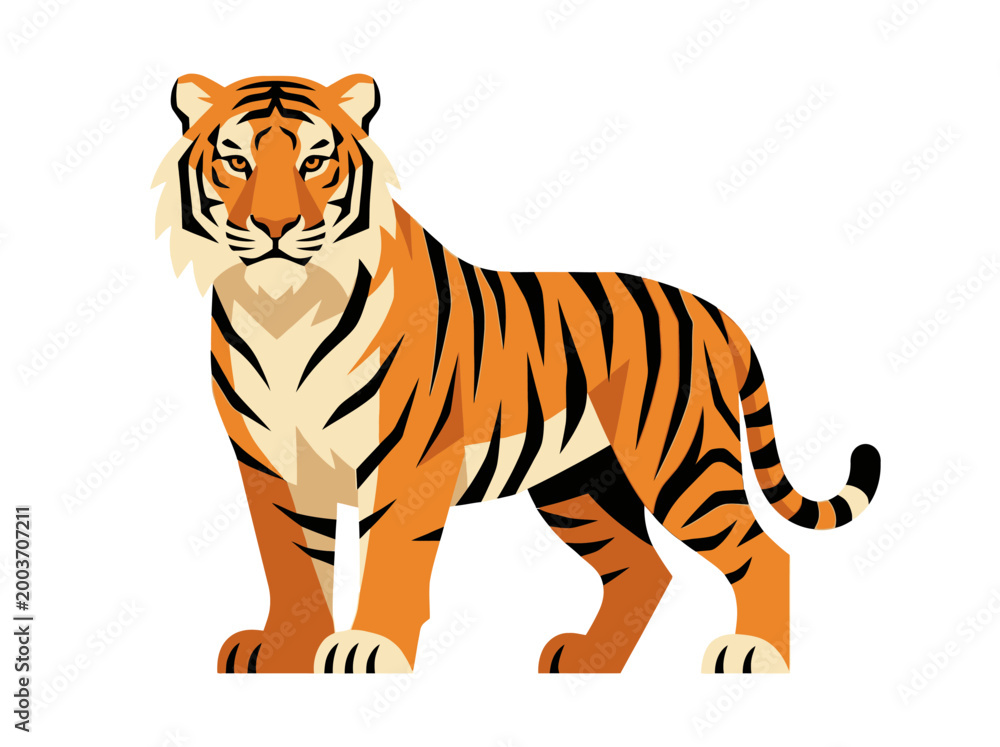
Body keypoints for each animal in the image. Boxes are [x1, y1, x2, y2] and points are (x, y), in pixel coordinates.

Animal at [153, 73, 881, 675]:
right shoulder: (269, 462)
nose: (275, 225)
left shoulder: (408, 462)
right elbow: (294, 563)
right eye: (237, 161)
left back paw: (756, 654)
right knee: (642, 570)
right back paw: (591, 661)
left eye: (314, 161)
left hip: (680, 461)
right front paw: (285, 650)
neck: (282, 310)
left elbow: (390, 556)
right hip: (578, 485)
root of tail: (713, 312)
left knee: (762, 552)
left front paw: (370, 647)